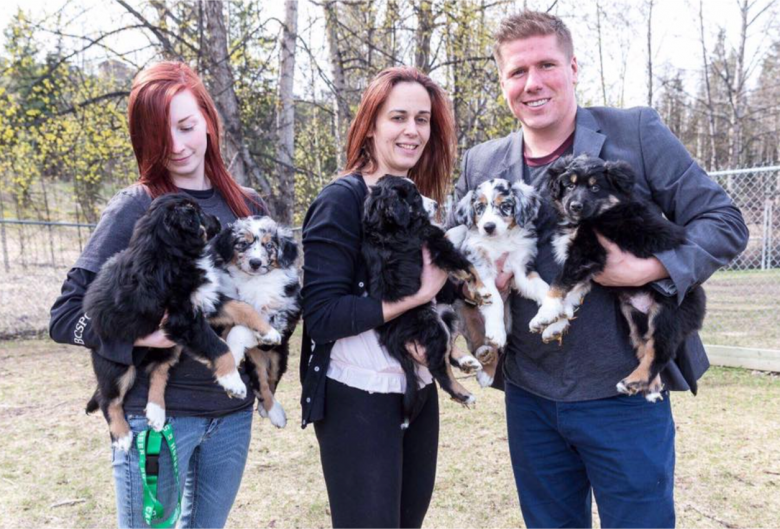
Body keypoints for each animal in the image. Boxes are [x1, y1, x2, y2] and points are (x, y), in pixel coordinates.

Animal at [84, 194, 280, 450]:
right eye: (199, 214)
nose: (220, 221)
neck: (171, 255)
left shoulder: (206, 300)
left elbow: (242, 307)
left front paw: (269, 331)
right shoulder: (184, 320)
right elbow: (219, 347)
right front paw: (232, 382)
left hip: (170, 346)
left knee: (158, 370)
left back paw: (156, 412)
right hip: (117, 364)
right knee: (109, 399)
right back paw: (122, 436)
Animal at [362, 175, 484, 426]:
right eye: (416, 196)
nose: (436, 204)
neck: (386, 226)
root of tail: (390, 338)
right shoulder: (435, 243)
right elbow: (465, 261)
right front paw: (482, 289)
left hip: (446, 313)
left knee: (447, 350)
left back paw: (466, 361)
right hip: (432, 325)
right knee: (439, 366)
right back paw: (464, 394)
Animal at [532, 155, 708, 402]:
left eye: (595, 188)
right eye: (570, 185)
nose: (575, 206)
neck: (600, 214)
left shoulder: (587, 253)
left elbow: (559, 283)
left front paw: (544, 314)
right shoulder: (591, 267)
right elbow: (571, 294)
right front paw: (555, 324)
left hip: (667, 315)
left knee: (660, 352)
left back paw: (632, 382)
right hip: (635, 319)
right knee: (646, 348)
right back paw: (650, 387)